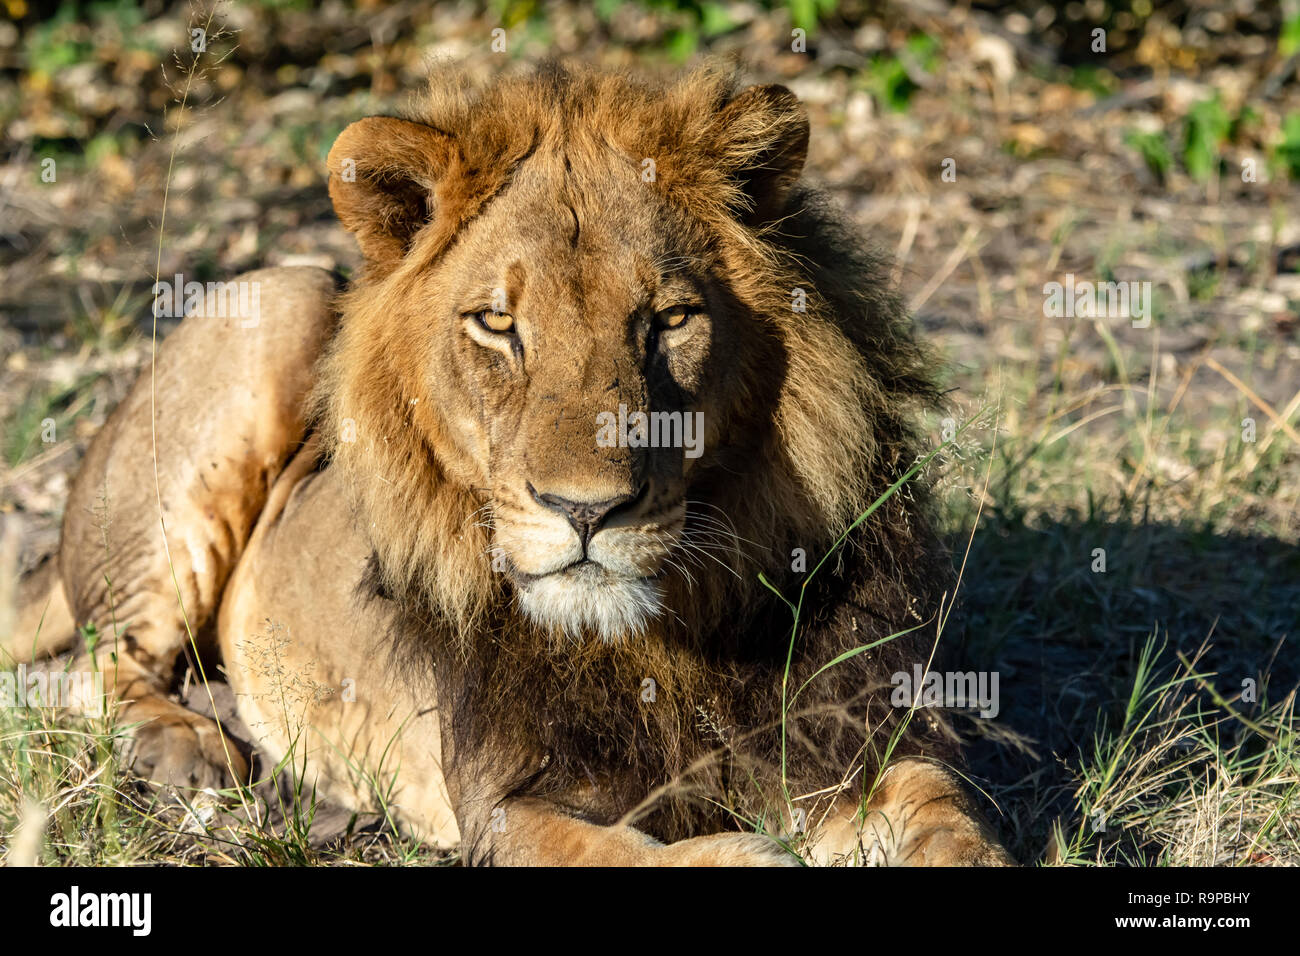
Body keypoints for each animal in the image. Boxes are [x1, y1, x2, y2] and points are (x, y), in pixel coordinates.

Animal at [6, 62, 1012, 866]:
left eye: (668, 319)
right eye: (497, 323)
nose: (587, 511)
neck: (668, 636)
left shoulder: (863, 742)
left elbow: (948, 820)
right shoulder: (503, 802)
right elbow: (644, 857)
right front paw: (753, 851)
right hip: (278, 300)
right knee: (99, 663)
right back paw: (187, 746)